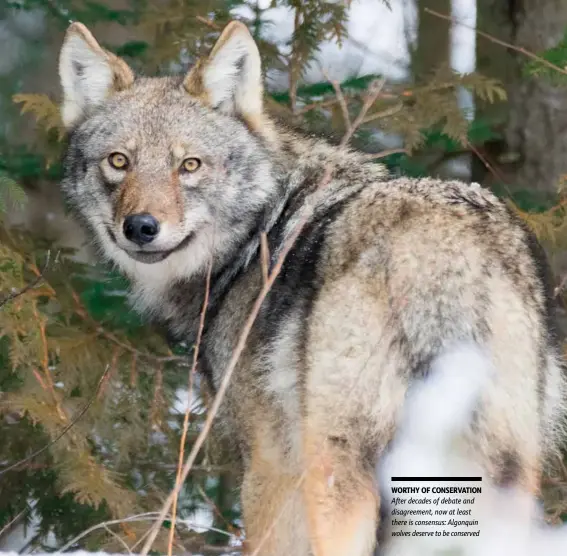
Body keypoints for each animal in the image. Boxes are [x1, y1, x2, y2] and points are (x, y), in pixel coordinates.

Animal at [58, 19, 567, 556]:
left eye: (190, 165)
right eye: (119, 161)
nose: (140, 227)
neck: (261, 227)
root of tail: (442, 254)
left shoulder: (269, 466)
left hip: (337, 474)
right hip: (503, 477)